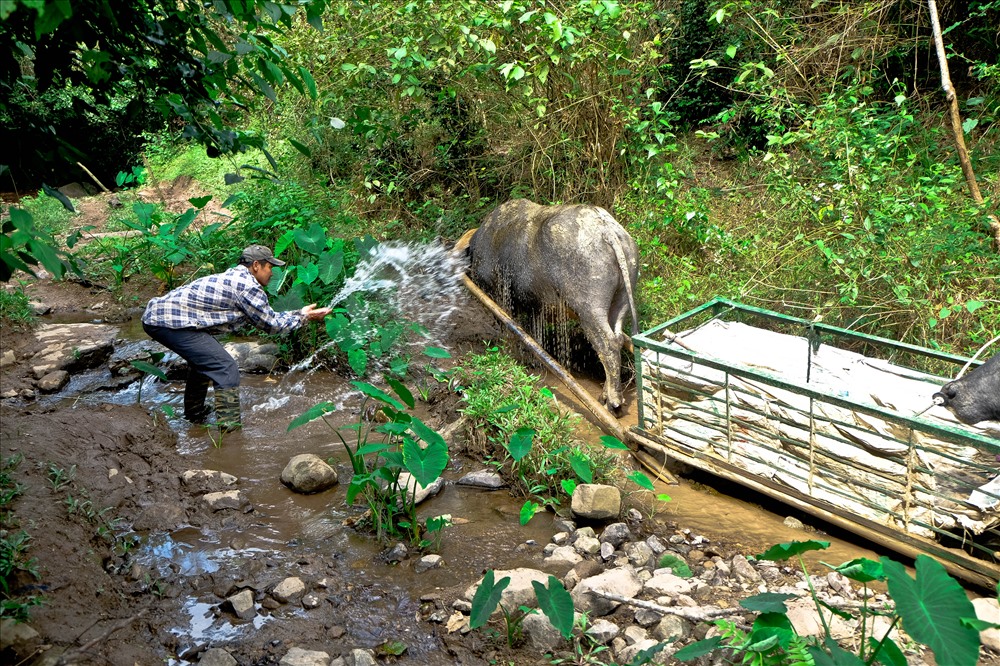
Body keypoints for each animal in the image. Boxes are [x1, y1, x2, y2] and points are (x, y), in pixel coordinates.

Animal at [466, 197, 636, 410]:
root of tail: (607, 230)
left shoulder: (500, 295)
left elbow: (509, 327)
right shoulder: (534, 306)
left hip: (589, 308)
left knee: (608, 343)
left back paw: (612, 402)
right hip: (621, 300)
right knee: (619, 338)